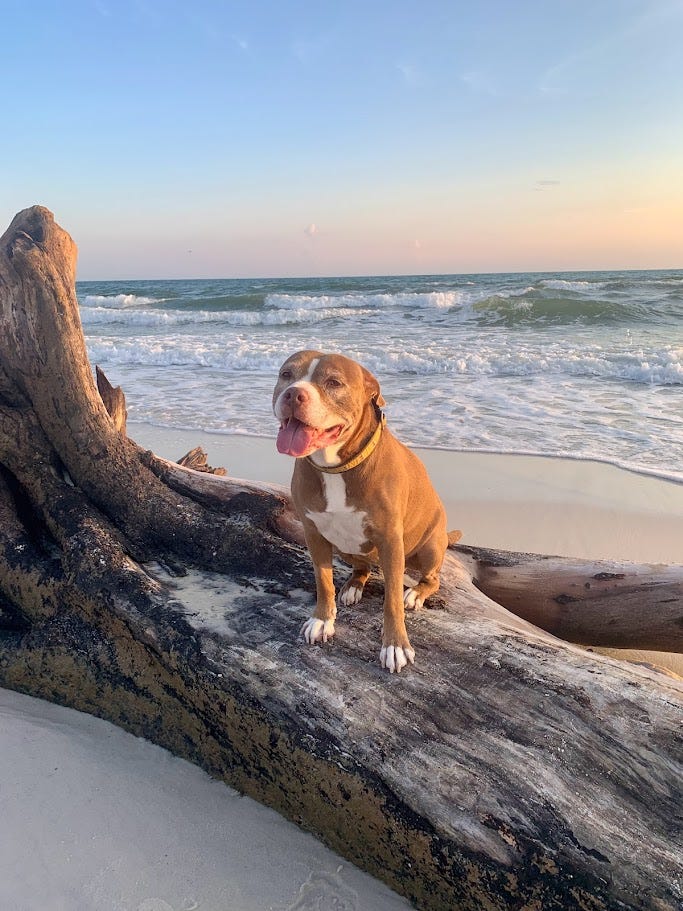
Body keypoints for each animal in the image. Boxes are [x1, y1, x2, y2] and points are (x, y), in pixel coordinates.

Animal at [273, 350, 459, 673]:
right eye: (286, 375)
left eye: (334, 382)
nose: (294, 394)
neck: (336, 466)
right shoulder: (314, 534)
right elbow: (323, 582)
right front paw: (322, 620)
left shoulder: (390, 541)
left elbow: (392, 600)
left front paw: (395, 645)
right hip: (346, 546)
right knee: (363, 567)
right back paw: (353, 586)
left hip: (431, 546)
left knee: (431, 579)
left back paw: (415, 593)